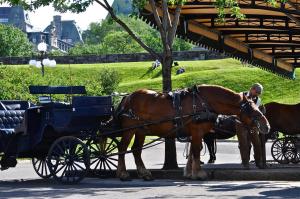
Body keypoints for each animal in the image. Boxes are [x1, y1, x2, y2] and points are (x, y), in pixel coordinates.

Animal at [115, 84, 270, 181]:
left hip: (141, 130)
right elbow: (196, 150)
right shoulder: (197, 131)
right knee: (122, 148)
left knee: (136, 150)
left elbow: (192, 152)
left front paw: (190, 173)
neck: (204, 102)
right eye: (252, 110)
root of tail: (128, 97)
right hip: (129, 130)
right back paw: (122, 173)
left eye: (257, 106)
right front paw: (198, 173)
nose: (267, 126)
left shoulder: (194, 133)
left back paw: (144, 173)